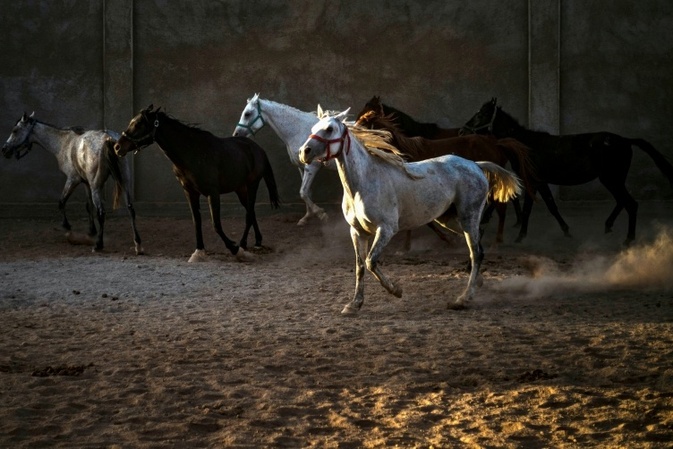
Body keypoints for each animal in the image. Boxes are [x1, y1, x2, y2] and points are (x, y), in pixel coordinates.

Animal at [2, 112, 143, 254]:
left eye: (15, 130)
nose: (4, 149)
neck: (65, 142)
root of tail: (108, 139)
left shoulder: (72, 179)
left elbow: (61, 202)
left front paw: (67, 227)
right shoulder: (86, 183)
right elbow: (88, 206)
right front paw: (91, 231)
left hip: (97, 187)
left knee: (101, 212)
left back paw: (98, 245)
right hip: (124, 182)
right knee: (130, 209)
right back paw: (137, 244)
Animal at [114, 105, 280, 262]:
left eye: (138, 123)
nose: (117, 147)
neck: (192, 152)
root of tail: (258, 149)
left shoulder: (212, 193)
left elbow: (216, 224)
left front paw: (234, 249)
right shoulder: (190, 192)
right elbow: (196, 221)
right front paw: (199, 251)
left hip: (252, 185)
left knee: (249, 213)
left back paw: (243, 245)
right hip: (240, 189)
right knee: (251, 212)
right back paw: (256, 242)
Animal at [233, 94, 335, 226]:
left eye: (247, 114)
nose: (236, 134)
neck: (300, 131)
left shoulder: (312, 166)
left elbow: (303, 192)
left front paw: (321, 214)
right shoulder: (302, 167)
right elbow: (306, 192)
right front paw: (307, 217)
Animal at [461, 98, 673, 245]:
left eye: (482, 114)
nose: (463, 131)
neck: (525, 145)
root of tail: (626, 141)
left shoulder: (533, 182)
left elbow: (530, 208)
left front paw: (520, 236)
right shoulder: (541, 182)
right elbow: (551, 206)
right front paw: (566, 230)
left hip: (611, 179)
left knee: (630, 204)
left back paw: (628, 238)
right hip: (613, 180)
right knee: (623, 202)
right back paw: (608, 226)